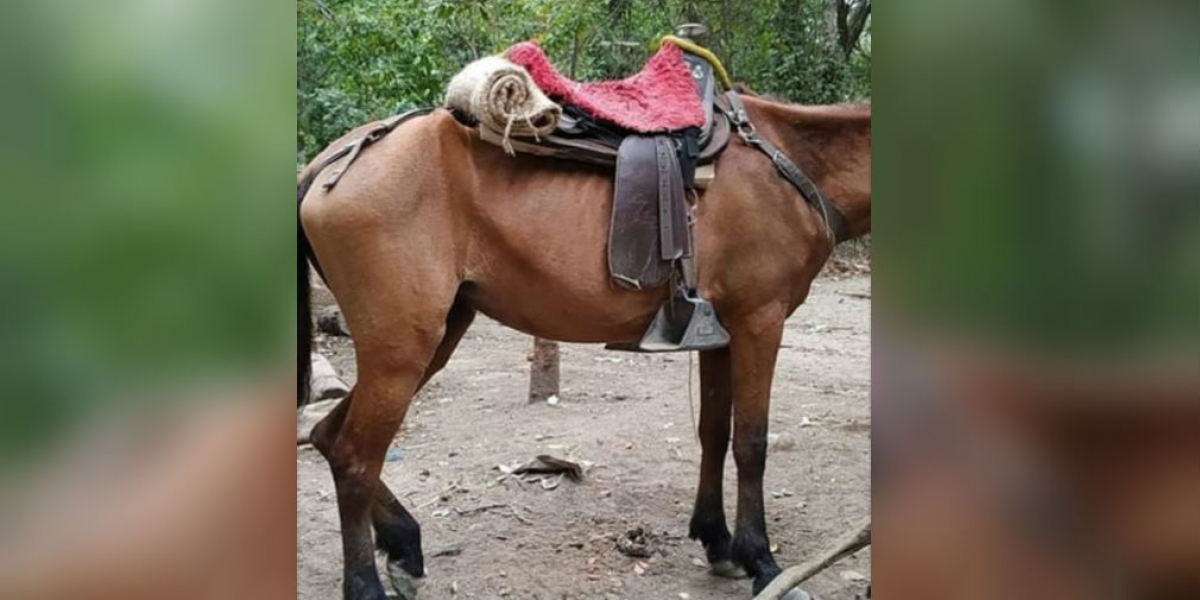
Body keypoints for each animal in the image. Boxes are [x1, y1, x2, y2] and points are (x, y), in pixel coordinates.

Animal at [295, 94, 868, 600]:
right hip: (401, 349)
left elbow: (713, 433)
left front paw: (718, 541)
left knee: (328, 436)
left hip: (432, 338)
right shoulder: (758, 322)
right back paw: (366, 584)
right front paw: (762, 561)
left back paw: (404, 546)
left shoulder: (720, 333)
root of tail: (328, 162)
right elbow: (752, 443)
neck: (789, 161)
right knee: (355, 456)